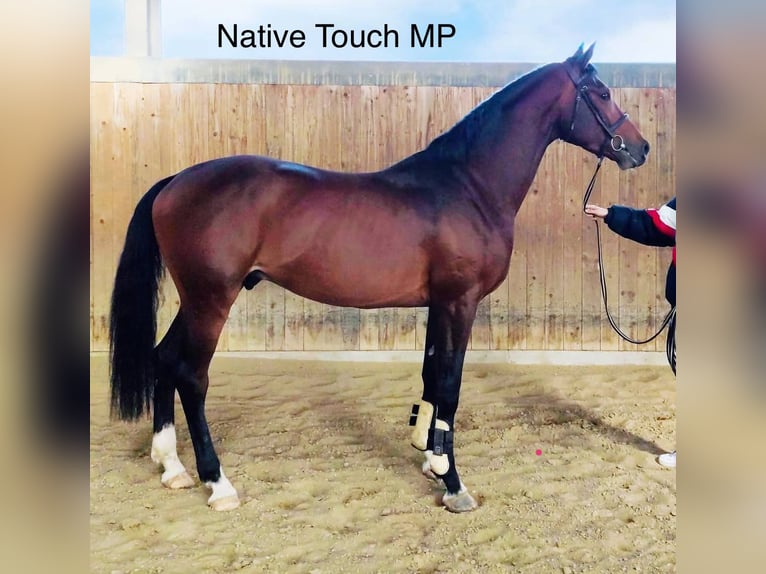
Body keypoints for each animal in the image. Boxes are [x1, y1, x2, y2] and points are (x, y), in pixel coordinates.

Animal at [109, 44, 649, 513]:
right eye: (602, 93)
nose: (639, 149)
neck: (468, 186)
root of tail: (175, 182)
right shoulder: (461, 301)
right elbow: (450, 385)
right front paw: (454, 485)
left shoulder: (439, 304)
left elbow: (432, 377)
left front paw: (430, 457)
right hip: (211, 300)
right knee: (191, 375)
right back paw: (217, 482)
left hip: (195, 300)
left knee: (164, 359)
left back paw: (172, 466)